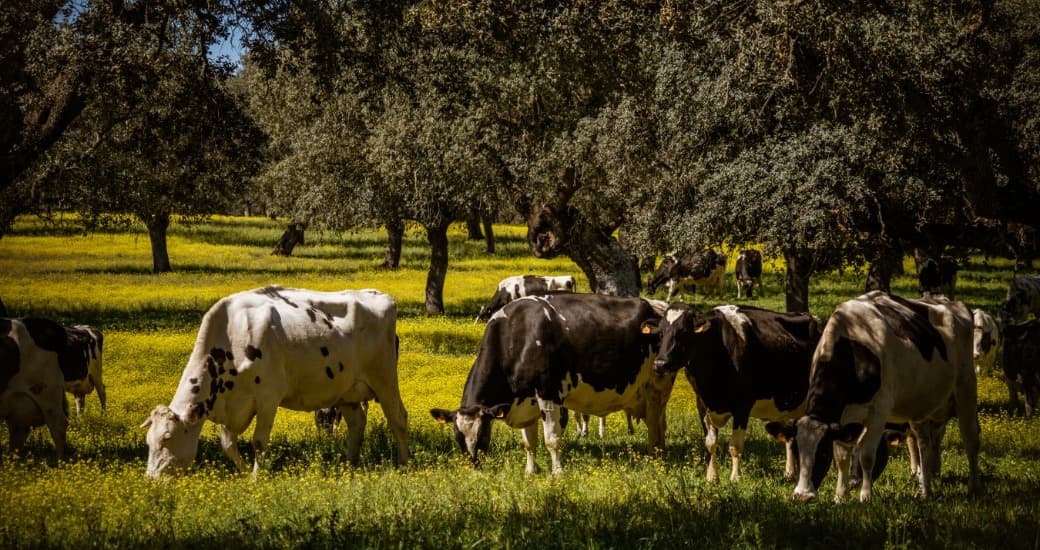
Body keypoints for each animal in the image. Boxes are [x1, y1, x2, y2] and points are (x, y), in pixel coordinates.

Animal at [140, 284, 407, 478]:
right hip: (347, 391)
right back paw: (350, 466)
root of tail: (377, 294)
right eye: (148, 441)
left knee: (398, 418)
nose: (151, 480)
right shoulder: (231, 404)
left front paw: (257, 477)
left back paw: (404, 464)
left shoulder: (268, 397)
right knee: (356, 425)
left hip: (384, 379)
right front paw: (245, 474)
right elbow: (228, 444)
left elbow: (258, 442)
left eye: (167, 437)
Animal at [430, 293, 673, 474]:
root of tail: (658, 305)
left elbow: (551, 440)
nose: (475, 468)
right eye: (457, 436)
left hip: (658, 385)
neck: (517, 336)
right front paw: (531, 471)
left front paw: (558, 473)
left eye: (483, 434)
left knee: (656, 425)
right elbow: (529, 442)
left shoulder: (549, 393)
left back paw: (657, 460)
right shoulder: (526, 400)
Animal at [648, 303, 827, 480]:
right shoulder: (702, 403)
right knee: (790, 435)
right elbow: (710, 443)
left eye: (683, 332)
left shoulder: (742, 405)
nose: (660, 363)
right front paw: (712, 477)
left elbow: (735, 446)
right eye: (660, 333)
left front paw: (735, 478)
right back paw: (789, 473)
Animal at [790, 291, 977, 501]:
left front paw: (865, 496)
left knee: (971, 437)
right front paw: (839, 497)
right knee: (924, 444)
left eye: (822, 453)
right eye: (796, 452)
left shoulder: (879, 411)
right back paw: (924, 491)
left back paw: (973, 488)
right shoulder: (843, 418)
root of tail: (952, 302)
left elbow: (866, 455)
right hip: (920, 405)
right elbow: (841, 458)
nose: (802, 496)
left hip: (966, 386)